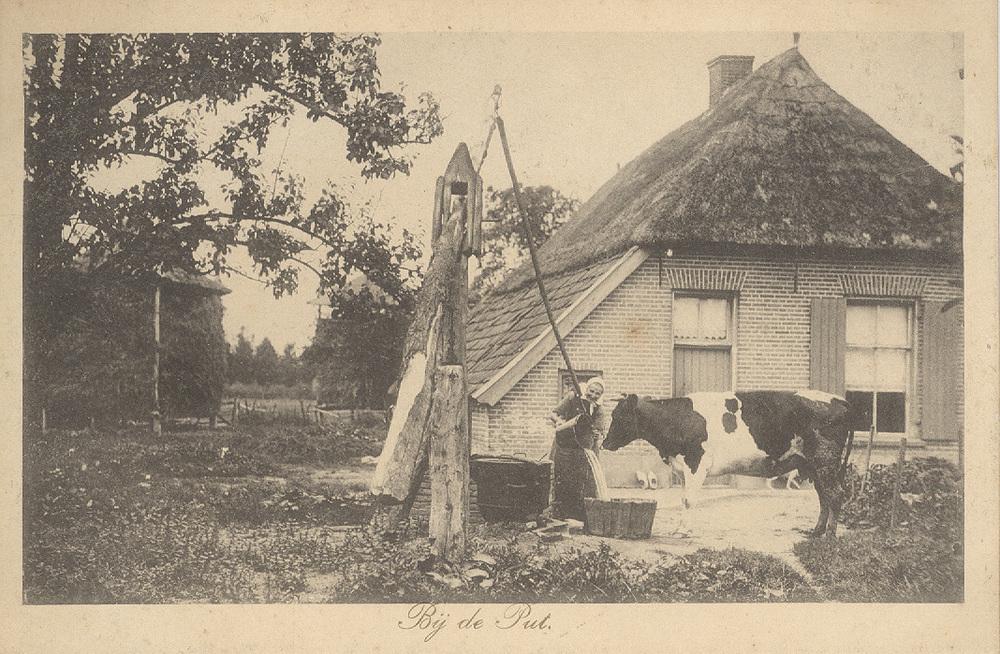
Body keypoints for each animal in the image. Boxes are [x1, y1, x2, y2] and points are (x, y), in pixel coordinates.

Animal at [602, 390, 853, 536]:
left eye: (618, 416)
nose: (605, 443)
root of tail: (839, 400)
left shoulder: (696, 462)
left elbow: (689, 499)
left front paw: (683, 530)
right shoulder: (682, 468)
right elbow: (684, 498)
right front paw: (682, 527)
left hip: (825, 458)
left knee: (836, 493)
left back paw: (829, 535)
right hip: (815, 464)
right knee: (824, 495)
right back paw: (816, 531)